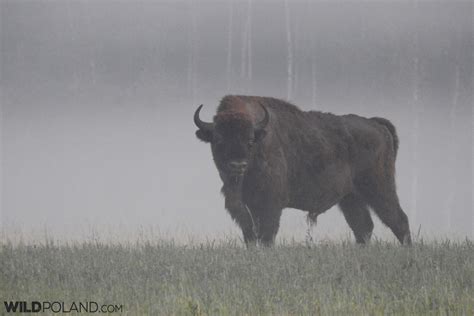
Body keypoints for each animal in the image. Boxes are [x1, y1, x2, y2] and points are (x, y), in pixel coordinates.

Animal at [193, 95, 412, 246]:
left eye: (250, 140)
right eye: (218, 140)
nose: (238, 165)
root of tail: (376, 124)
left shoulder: (270, 205)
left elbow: (266, 235)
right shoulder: (244, 208)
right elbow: (250, 235)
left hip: (379, 189)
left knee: (398, 220)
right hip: (350, 198)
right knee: (363, 226)